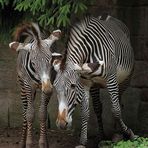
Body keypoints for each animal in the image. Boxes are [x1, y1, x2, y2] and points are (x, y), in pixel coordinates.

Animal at [52, 15, 136, 147]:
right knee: (98, 107)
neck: (88, 53)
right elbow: (85, 112)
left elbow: (116, 110)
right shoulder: (85, 83)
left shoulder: (111, 79)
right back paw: (101, 136)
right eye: (55, 87)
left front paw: (129, 133)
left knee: (119, 103)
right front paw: (82, 142)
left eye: (73, 86)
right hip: (95, 85)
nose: (61, 124)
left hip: (125, 80)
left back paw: (118, 133)